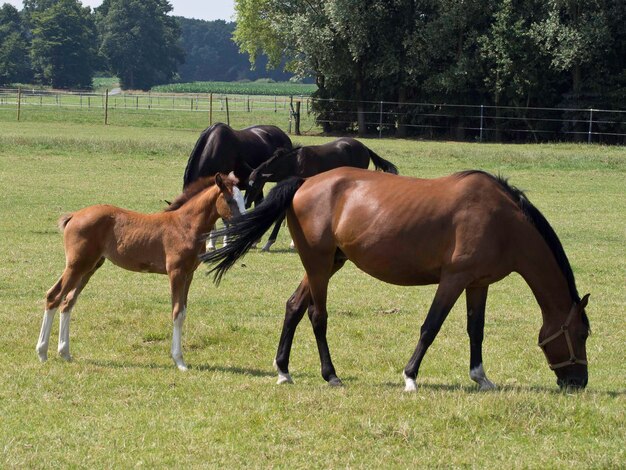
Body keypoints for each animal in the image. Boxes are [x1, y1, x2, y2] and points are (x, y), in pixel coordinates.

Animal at [35, 173, 246, 370]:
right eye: (229, 200)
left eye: (243, 199)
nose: (244, 223)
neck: (185, 225)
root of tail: (74, 216)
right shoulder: (176, 273)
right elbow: (177, 313)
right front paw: (179, 361)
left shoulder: (189, 274)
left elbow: (183, 312)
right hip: (76, 265)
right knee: (54, 296)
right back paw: (42, 353)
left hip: (89, 268)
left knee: (68, 302)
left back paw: (65, 353)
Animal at [202, 167, 588, 392]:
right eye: (582, 334)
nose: (579, 382)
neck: (502, 220)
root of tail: (306, 182)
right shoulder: (453, 279)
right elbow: (430, 327)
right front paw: (410, 376)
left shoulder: (478, 284)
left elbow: (475, 330)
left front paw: (481, 377)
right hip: (319, 264)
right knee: (316, 315)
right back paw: (331, 374)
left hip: (327, 264)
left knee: (294, 307)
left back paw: (283, 370)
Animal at [243, 138, 394, 252]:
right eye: (247, 184)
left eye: (255, 186)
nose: (246, 203)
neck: (295, 163)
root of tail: (364, 147)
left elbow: (281, 216)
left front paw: (269, 243)